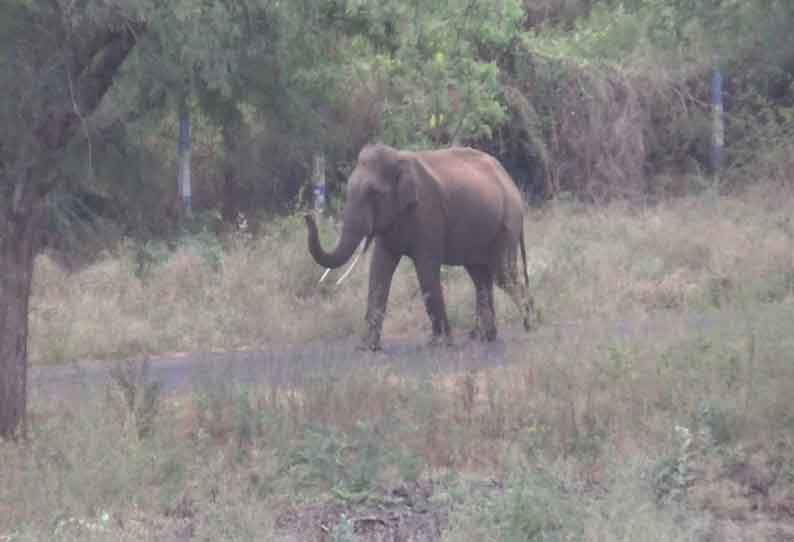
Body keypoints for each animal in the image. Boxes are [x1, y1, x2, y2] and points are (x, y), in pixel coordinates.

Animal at [304, 143, 540, 352]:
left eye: (373, 193)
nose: (307, 215)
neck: (399, 158)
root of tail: (510, 182)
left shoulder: (428, 212)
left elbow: (426, 271)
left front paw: (440, 344)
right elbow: (379, 271)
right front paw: (367, 348)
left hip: (507, 223)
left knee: (503, 275)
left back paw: (529, 326)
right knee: (480, 277)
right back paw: (484, 337)